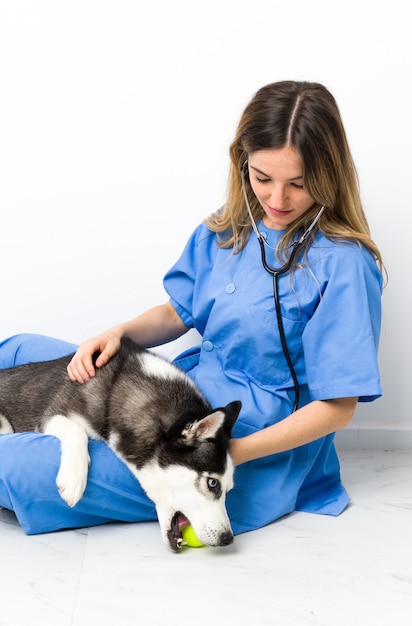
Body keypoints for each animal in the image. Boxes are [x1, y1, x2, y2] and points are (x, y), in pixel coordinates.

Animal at [0, 338, 241, 548]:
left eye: (229, 490)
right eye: (213, 483)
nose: (228, 538)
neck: (116, 390)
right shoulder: (52, 415)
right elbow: (77, 430)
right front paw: (73, 479)